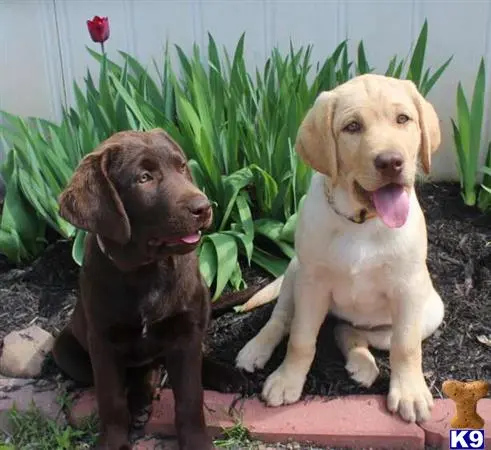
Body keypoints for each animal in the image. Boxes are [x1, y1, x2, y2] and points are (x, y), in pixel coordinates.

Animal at [235, 73, 446, 422]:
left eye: (403, 119)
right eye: (352, 127)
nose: (391, 162)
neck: (361, 223)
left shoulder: (408, 289)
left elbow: (406, 346)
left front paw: (410, 393)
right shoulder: (312, 283)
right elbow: (301, 339)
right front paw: (287, 380)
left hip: (429, 312)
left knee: (350, 331)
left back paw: (362, 362)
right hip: (295, 273)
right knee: (282, 319)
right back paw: (256, 349)